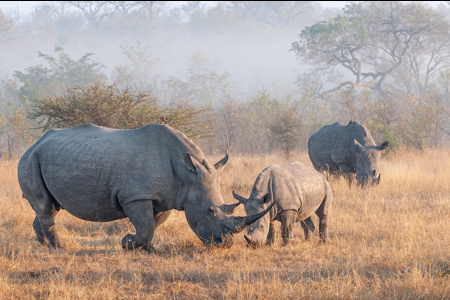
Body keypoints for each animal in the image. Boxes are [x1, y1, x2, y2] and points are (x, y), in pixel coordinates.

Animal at [17, 123, 272, 252]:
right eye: (210, 210)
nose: (224, 245)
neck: (186, 174)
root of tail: (34, 142)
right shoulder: (135, 196)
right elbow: (146, 225)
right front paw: (127, 243)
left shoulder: (169, 196)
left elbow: (154, 224)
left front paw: (148, 249)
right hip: (30, 159)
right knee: (44, 205)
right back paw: (61, 248)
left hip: (46, 157)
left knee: (50, 206)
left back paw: (43, 244)